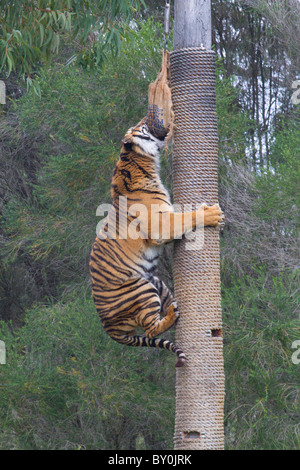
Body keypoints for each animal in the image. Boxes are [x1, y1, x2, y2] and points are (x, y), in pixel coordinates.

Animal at [89, 117, 223, 368]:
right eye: (141, 126)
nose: (147, 118)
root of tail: (108, 328)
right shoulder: (161, 225)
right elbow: (187, 217)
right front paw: (212, 213)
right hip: (140, 288)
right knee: (151, 329)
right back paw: (172, 314)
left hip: (155, 281)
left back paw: (175, 306)